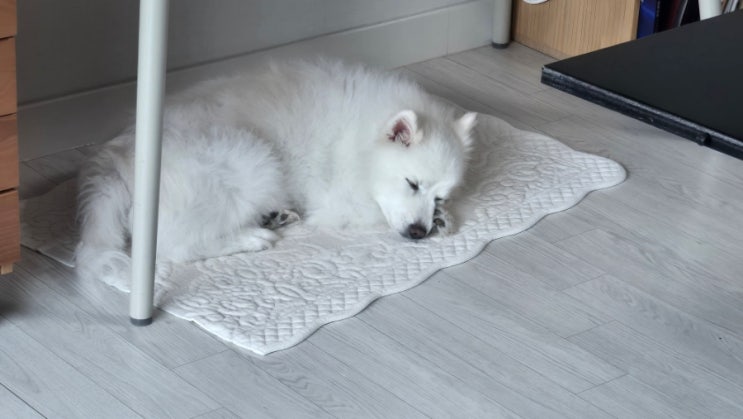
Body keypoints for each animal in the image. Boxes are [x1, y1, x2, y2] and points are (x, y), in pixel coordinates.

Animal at [75, 58, 476, 283]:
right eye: (411, 183)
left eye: (440, 195)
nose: (418, 233)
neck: (361, 140)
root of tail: (119, 159)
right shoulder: (337, 198)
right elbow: (372, 212)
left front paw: (444, 217)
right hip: (252, 162)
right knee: (175, 245)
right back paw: (252, 237)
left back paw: (273, 217)